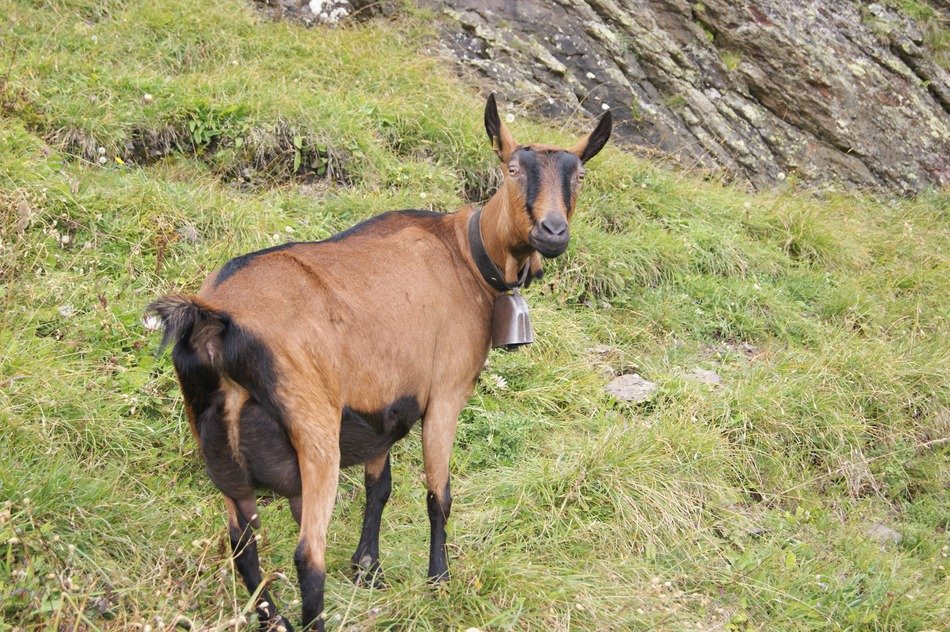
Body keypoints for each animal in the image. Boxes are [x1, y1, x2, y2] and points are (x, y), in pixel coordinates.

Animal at [149, 94, 611, 631]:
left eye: (580, 175)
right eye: (511, 168)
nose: (552, 232)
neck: (465, 255)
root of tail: (212, 320)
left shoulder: (379, 407)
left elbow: (380, 486)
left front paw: (368, 568)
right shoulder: (446, 392)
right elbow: (438, 494)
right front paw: (438, 581)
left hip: (221, 451)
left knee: (243, 546)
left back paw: (276, 619)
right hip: (314, 432)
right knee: (308, 554)